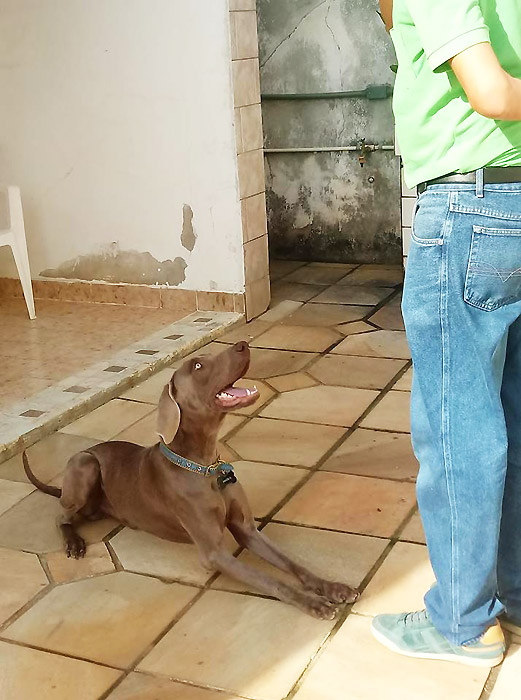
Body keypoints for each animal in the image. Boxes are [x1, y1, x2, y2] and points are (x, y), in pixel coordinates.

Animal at [23, 341, 358, 619]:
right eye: (197, 366)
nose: (243, 344)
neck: (204, 467)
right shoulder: (214, 553)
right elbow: (272, 581)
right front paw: (314, 603)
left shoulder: (247, 530)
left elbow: (292, 564)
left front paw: (332, 587)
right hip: (85, 463)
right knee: (61, 516)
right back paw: (74, 542)